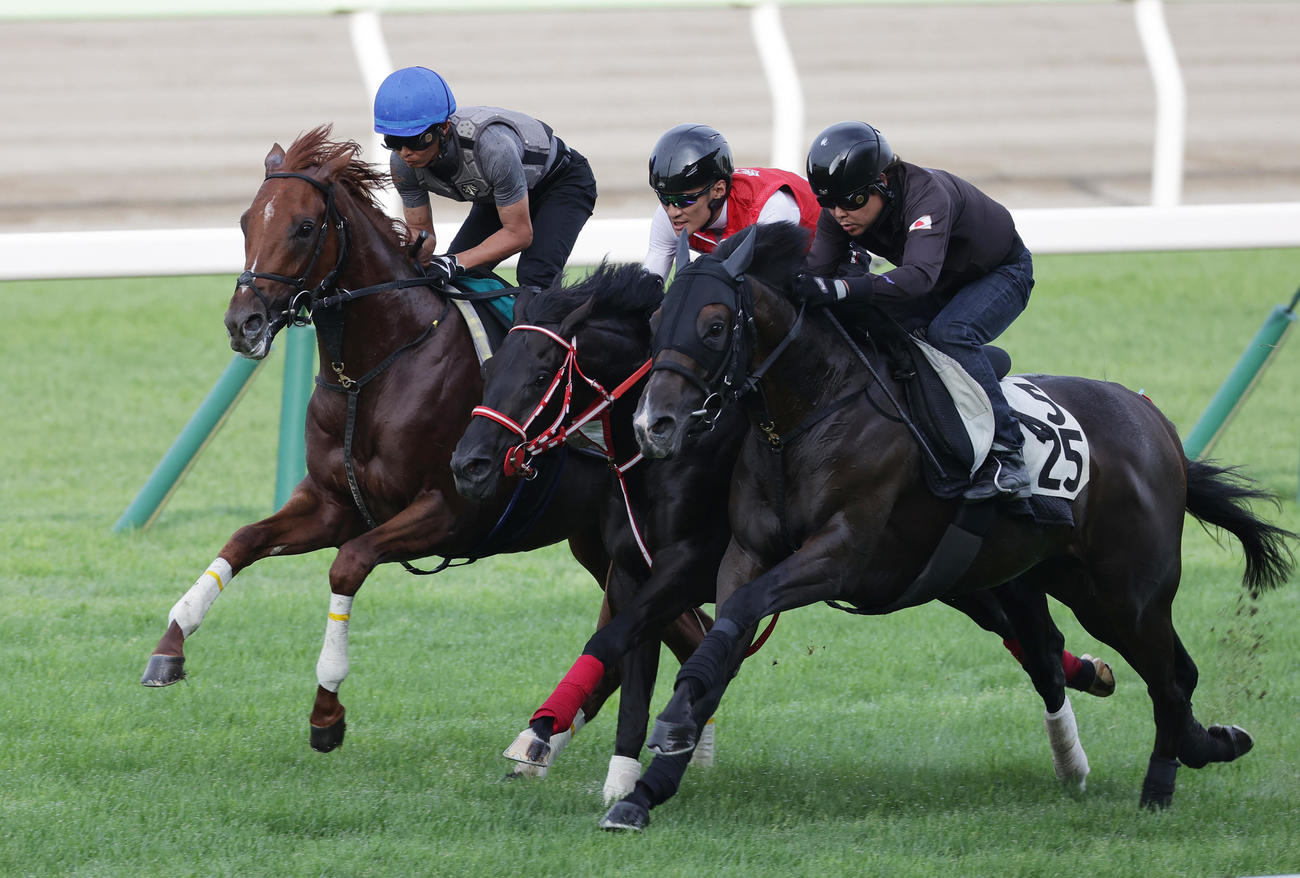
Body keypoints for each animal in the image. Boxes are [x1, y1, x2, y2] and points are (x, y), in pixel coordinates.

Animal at [139, 125, 709, 766]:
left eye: (305, 227)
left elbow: (348, 565)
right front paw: (168, 646)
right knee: (676, 632)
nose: (245, 323)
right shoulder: (333, 504)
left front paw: (327, 711)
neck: (373, 372)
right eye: (244, 221)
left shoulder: (449, 511)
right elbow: (243, 540)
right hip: (600, 547)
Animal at [449, 256, 1117, 810]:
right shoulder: (634, 565)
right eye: (492, 364)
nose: (468, 465)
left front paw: (562, 745)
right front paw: (612, 769)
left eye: (541, 371)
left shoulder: (687, 562)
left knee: (1036, 638)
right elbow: (631, 656)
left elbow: (618, 639)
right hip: (948, 575)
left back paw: (1084, 717)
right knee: (1030, 635)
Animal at [599, 221, 1294, 830]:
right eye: (657, 324)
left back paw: (1158, 789)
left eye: (715, 325)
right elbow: (720, 644)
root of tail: (1157, 425)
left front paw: (666, 738)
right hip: (1072, 582)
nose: (653, 426)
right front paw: (645, 791)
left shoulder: (839, 554)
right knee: (1163, 669)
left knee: (1168, 679)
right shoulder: (745, 552)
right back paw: (1214, 744)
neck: (814, 410)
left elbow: (738, 615)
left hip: (1127, 592)